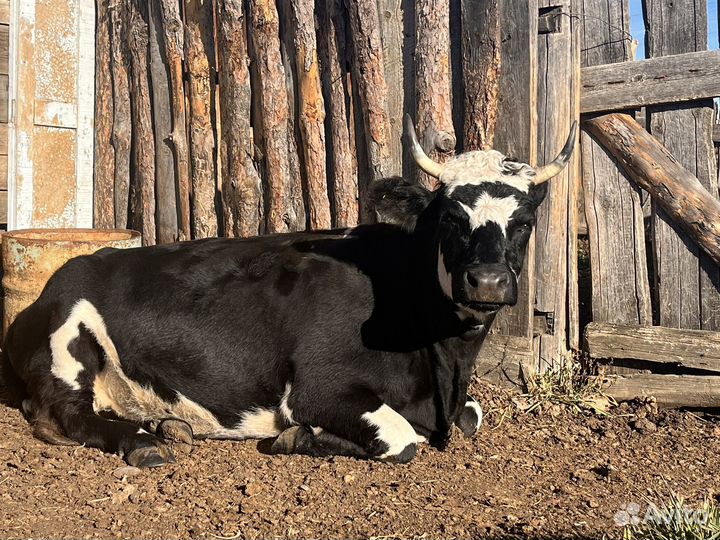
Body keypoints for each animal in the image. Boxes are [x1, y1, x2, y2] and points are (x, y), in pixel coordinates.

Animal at [1, 116, 576, 468]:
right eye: (450, 218)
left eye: (524, 221)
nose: (488, 282)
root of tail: (67, 272)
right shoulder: (318, 387)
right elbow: (402, 439)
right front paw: (298, 436)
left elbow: (473, 416)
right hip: (67, 341)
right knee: (62, 412)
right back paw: (143, 443)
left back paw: (168, 424)